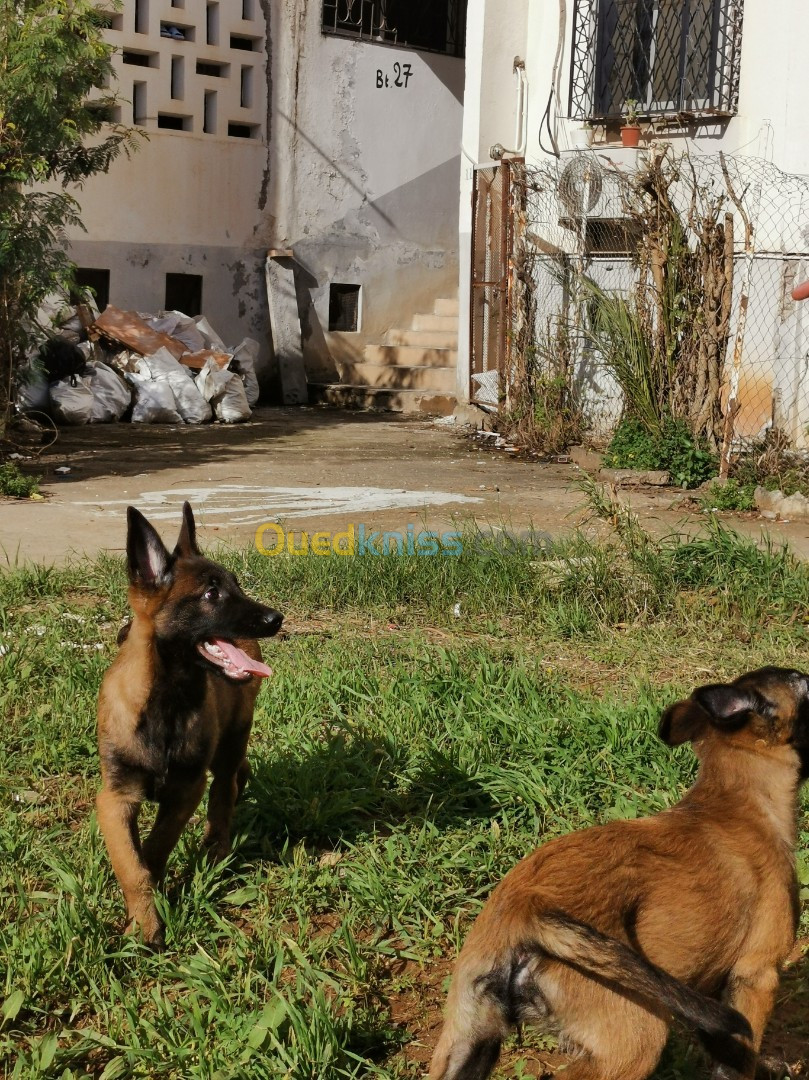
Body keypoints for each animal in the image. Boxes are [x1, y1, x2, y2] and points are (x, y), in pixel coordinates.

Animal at [97, 501, 282, 950]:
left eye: (236, 586)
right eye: (211, 594)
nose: (276, 618)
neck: (167, 704)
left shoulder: (186, 789)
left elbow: (154, 848)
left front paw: (147, 918)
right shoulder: (114, 800)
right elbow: (132, 864)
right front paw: (143, 923)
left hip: (232, 740)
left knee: (225, 788)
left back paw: (216, 848)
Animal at [429, 665, 807, 1080]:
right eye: (801, 681)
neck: (741, 802)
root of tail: (523, 909)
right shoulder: (756, 975)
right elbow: (743, 1057)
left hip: (467, 1042)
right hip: (634, 1041)